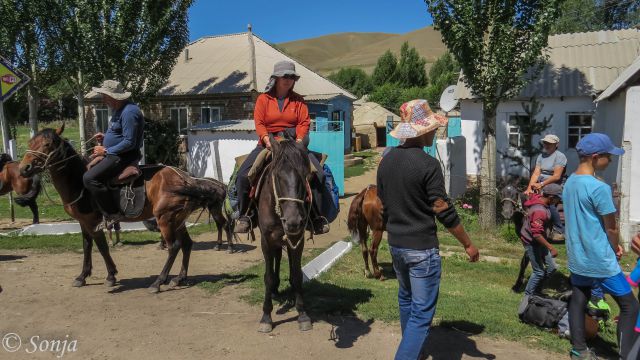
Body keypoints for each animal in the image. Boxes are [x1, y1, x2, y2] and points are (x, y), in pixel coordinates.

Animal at [18, 125, 225, 294]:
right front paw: (82, 276)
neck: (78, 181)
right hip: (178, 219)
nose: (24, 168)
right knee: (187, 244)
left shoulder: (94, 223)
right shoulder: (83, 222)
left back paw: (158, 282)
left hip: (165, 219)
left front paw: (111, 276)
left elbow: (102, 247)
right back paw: (179, 278)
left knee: (174, 246)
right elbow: (86, 246)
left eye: (47, 144)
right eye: (30, 142)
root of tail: (186, 178)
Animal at [256, 134, 314, 334]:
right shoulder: (266, 241)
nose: (293, 221)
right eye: (277, 176)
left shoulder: (297, 239)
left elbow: (296, 275)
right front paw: (266, 317)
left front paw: (302, 314)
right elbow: (267, 277)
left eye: (306, 175)